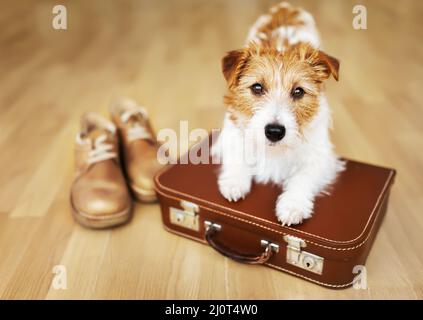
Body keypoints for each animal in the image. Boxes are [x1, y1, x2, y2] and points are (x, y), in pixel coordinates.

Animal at [214, 1, 346, 225]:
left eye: (298, 91)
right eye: (257, 87)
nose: (274, 131)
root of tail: (285, 6)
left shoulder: (321, 156)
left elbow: (303, 177)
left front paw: (293, 205)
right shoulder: (231, 130)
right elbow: (236, 153)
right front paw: (234, 181)